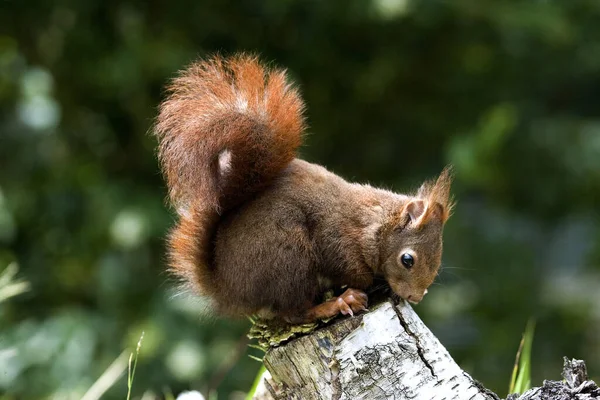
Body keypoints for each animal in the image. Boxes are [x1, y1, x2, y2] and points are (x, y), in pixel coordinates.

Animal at [152, 53, 452, 324]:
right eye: (407, 260)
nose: (416, 297)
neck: (377, 223)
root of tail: (229, 291)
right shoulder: (336, 234)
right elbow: (351, 268)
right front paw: (367, 285)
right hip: (287, 256)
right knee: (292, 313)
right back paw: (335, 304)